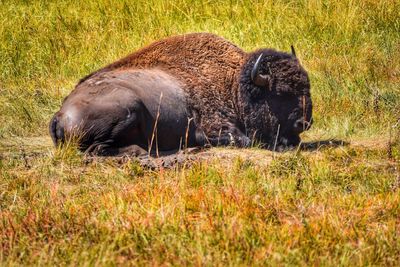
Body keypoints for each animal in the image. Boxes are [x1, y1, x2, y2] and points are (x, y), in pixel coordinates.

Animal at [50, 32, 312, 156]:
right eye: (281, 93)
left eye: (306, 86)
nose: (304, 123)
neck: (233, 82)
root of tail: (60, 114)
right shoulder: (216, 125)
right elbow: (243, 139)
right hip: (129, 108)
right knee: (96, 149)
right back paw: (143, 151)